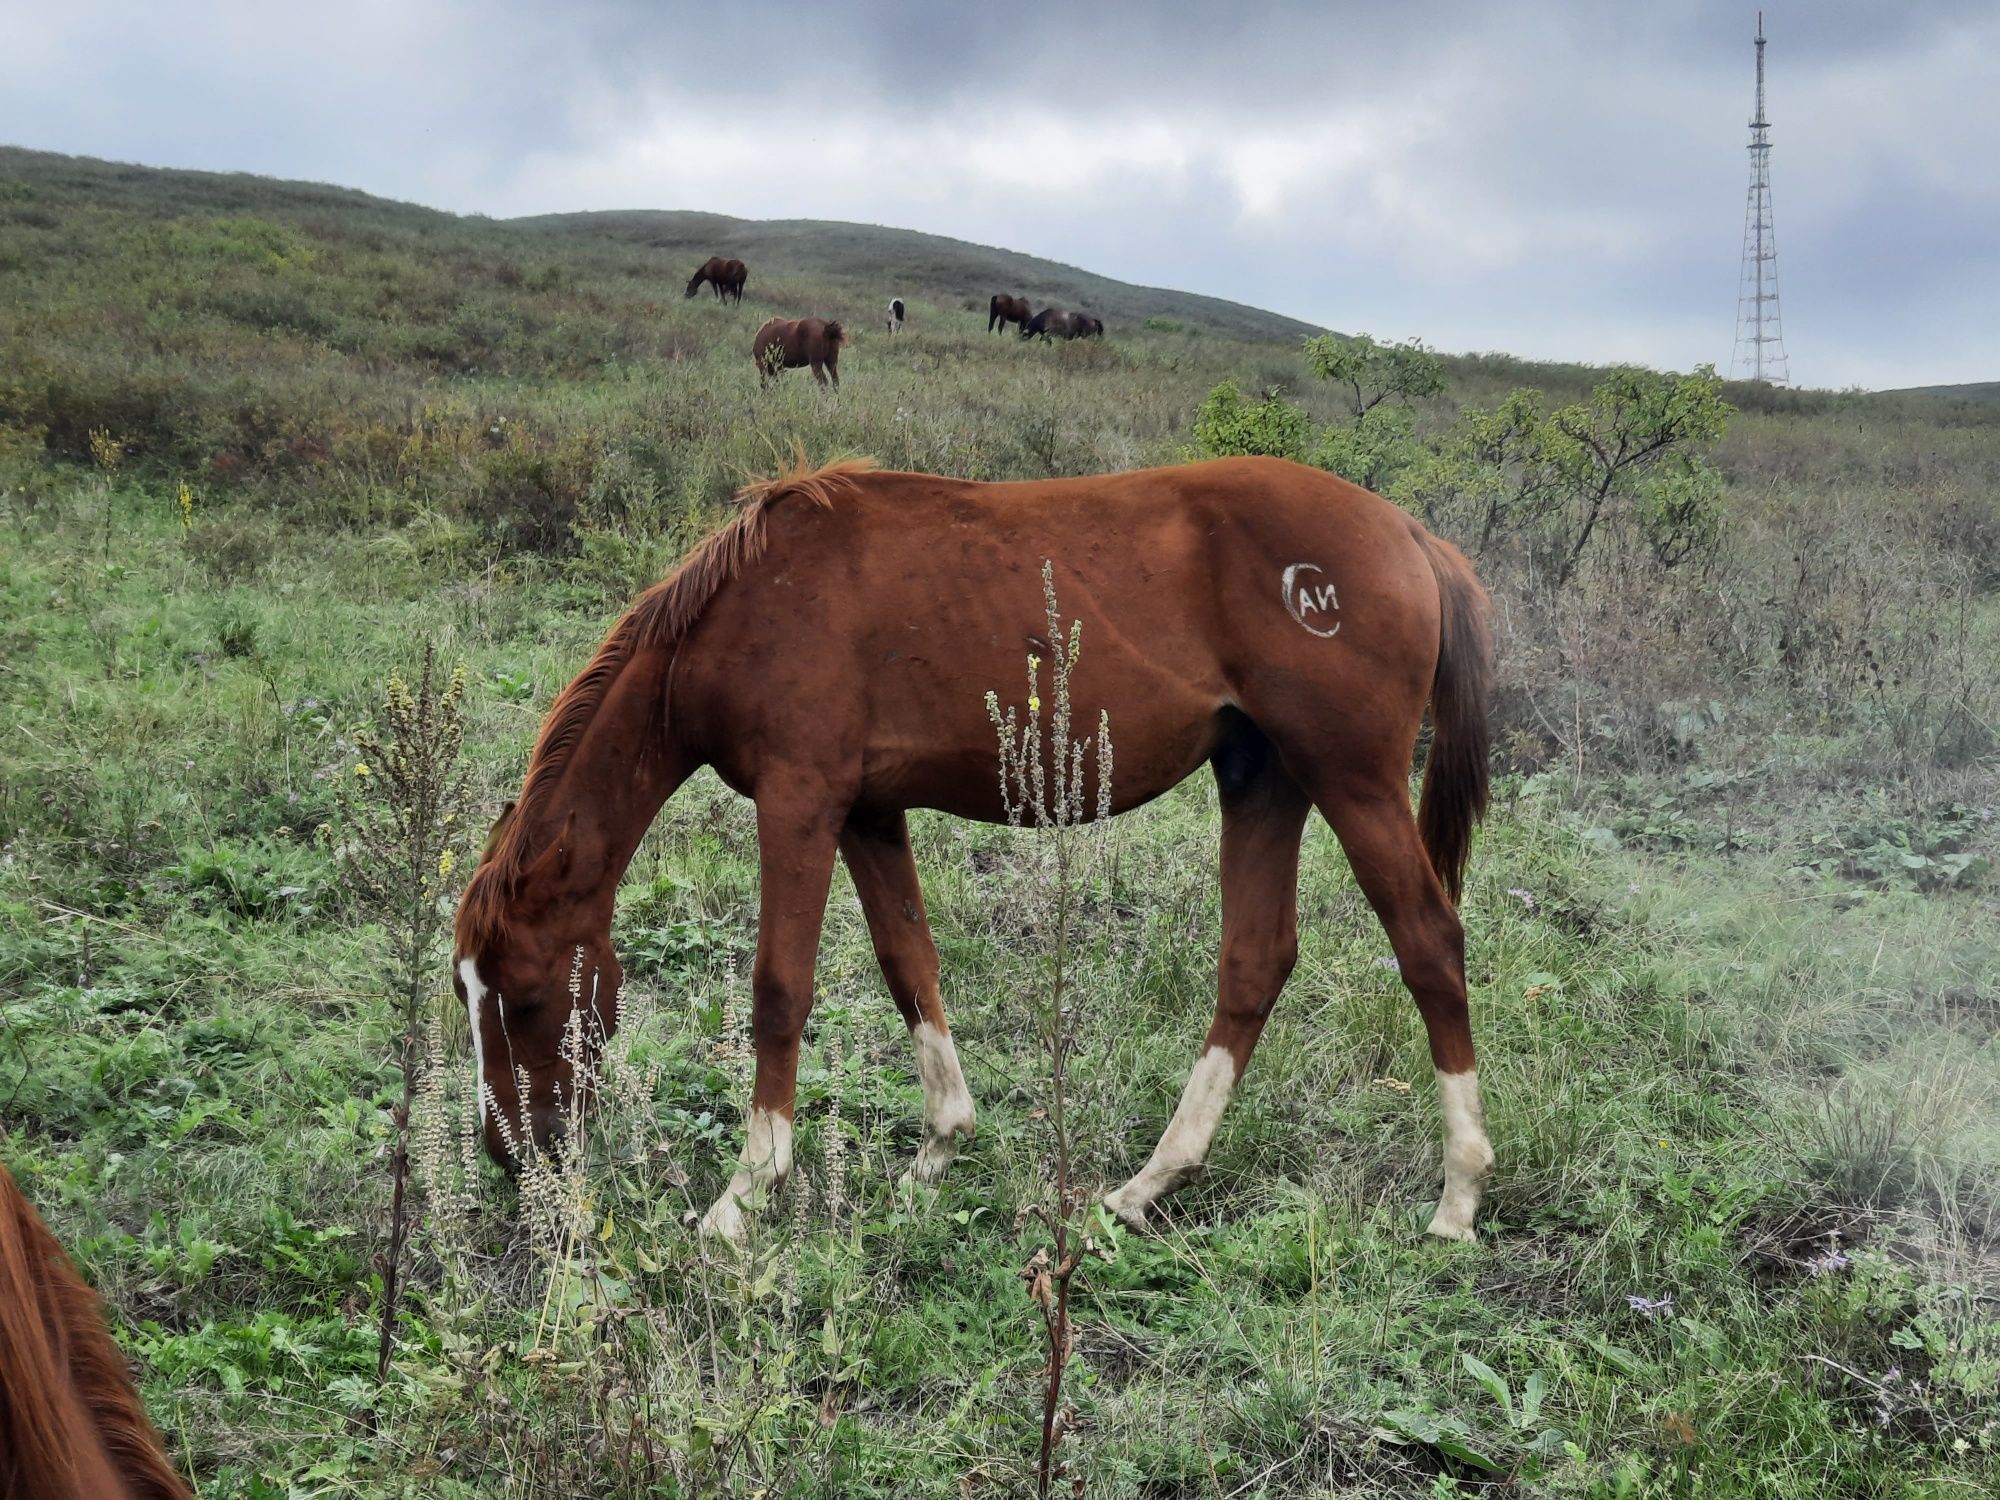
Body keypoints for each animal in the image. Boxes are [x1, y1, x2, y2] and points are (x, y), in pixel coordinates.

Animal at [450, 452, 1488, 1248]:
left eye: (529, 997)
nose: (511, 1152)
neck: (746, 608)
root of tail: (1412, 537)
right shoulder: (867, 813)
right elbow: (909, 963)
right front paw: (939, 1149)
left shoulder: (800, 803)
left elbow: (780, 990)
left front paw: (744, 1196)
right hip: (1263, 778)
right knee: (1256, 962)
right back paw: (1148, 1185)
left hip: (1350, 779)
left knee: (1429, 945)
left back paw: (1459, 1197)